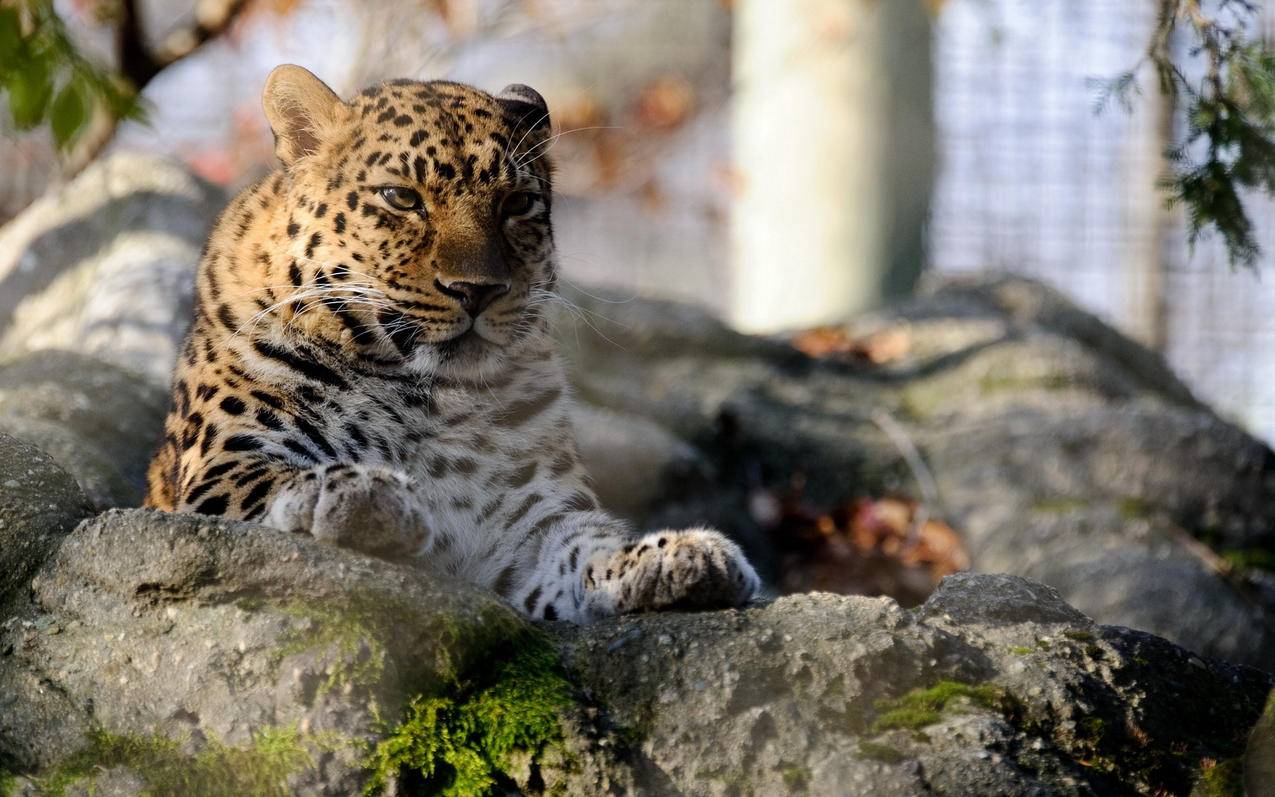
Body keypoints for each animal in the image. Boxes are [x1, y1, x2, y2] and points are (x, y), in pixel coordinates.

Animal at [142, 65, 754, 622]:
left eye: (516, 204)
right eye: (400, 198)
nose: (476, 290)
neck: (422, 392)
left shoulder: (523, 526)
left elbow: (582, 547)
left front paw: (678, 556)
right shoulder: (224, 466)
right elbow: (284, 477)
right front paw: (365, 494)